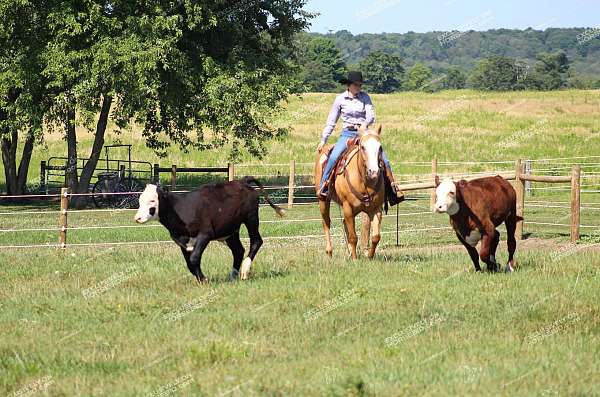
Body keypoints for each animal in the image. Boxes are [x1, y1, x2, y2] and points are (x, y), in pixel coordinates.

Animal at [135, 176, 284, 282]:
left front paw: (204, 279)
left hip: (251, 218)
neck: (181, 209)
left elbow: (194, 258)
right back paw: (232, 276)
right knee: (238, 250)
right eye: (140, 200)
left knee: (256, 241)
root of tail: (242, 181)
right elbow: (189, 263)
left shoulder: (205, 234)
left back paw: (244, 271)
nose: (137, 218)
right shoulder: (181, 241)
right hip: (231, 230)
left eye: (153, 200)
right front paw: (201, 279)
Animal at [314, 125, 384, 258]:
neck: (364, 181)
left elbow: (376, 236)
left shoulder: (376, 208)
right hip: (323, 201)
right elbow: (353, 237)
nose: (373, 172)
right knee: (326, 222)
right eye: (363, 147)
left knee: (344, 223)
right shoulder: (347, 207)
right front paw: (355, 260)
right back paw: (329, 252)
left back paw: (350, 253)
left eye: (380, 147)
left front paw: (369, 256)